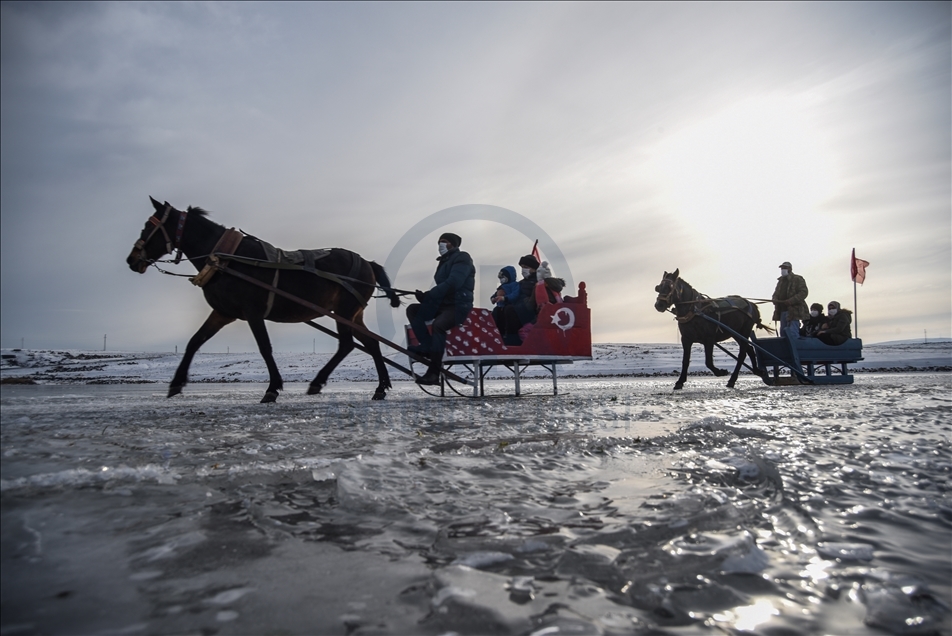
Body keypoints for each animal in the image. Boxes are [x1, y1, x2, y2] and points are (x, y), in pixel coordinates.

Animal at [124, 198, 400, 402]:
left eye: (148, 226)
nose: (131, 259)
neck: (227, 259)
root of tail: (368, 262)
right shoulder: (223, 313)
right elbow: (195, 341)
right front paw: (176, 383)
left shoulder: (253, 312)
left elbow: (264, 347)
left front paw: (272, 388)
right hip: (353, 313)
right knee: (371, 343)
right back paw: (380, 387)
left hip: (343, 311)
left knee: (346, 344)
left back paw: (318, 382)